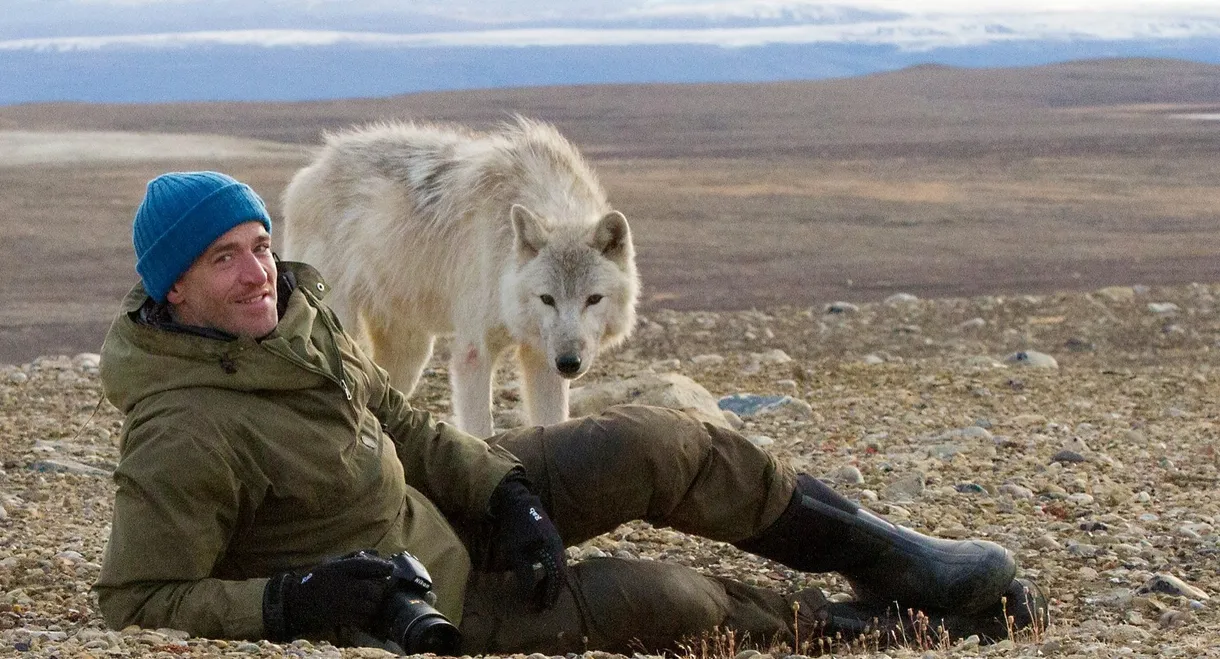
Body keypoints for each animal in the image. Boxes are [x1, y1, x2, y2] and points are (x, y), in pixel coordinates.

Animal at [281, 118, 644, 436]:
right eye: (547, 299)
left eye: (593, 299)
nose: (569, 362)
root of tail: (312, 168)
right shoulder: (474, 351)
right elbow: (481, 432)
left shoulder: (542, 358)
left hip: (410, 353)